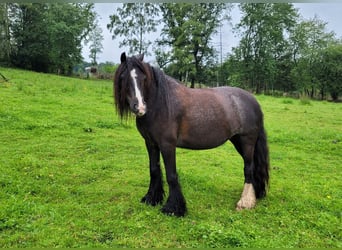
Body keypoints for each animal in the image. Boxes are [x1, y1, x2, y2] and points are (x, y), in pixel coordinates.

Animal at [114, 52, 270, 217]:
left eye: (144, 78)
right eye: (123, 77)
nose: (140, 107)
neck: (160, 103)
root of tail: (253, 100)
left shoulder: (167, 145)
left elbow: (171, 175)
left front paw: (174, 208)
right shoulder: (151, 143)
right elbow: (154, 170)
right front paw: (152, 198)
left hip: (247, 142)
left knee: (249, 168)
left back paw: (245, 202)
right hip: (238, 141)